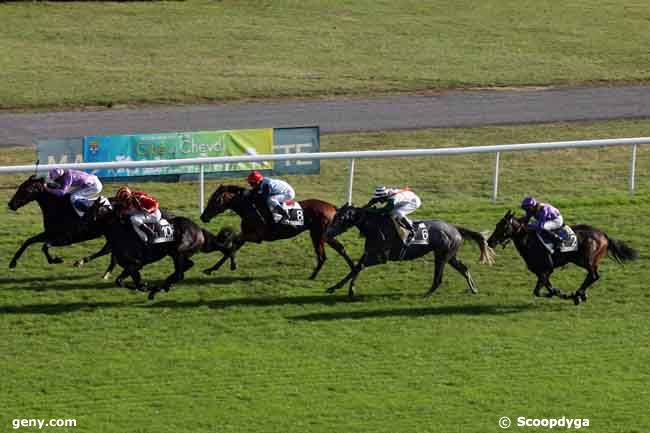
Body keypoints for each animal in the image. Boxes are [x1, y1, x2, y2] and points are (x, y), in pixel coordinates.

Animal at [87, 198, 237, 296]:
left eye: (93, 208)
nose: (86, 219)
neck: (120, 232)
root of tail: (198, 229)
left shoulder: (135, 264)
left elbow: (133, 282)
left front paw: (147, 287)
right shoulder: (131, 266)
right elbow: (120, 281)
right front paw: (145, 286)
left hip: (179, 251)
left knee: (180, 273)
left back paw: (158, 289)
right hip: (177, 253)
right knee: (187, 267)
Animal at [200, 184, 354, 278]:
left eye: (215, 200)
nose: (203, 217)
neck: (250, 207)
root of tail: (333, 207)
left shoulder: (256, 236)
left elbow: (234, 243)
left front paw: (232, 265)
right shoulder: (248, 234)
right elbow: (233, 247)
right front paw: (212, 269)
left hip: (317, 234)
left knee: (322, 256)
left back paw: (313, 275)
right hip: (327, 235)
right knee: (340, 248)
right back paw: (352, 269)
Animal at [322, 203, 494, 296]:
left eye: (341, 218)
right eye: (335, 216)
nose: (327, 233)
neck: (375, 226)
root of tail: (455, 228)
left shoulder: (381, 257)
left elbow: (359, 267)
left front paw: (347, 289)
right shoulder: (369, 253)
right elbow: (356, 267)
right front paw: (338, 288)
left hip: (442, 256)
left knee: (438, 278)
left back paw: (427, 294)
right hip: (450, 256)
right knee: (463, 268)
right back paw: (473, 289)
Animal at [484, 209, 636, 304]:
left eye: (503, 226)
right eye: (497, 224)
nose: (489, 241)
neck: (529, 241)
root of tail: (604, 235)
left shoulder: (546, 269)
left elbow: (541, 290)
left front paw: (567, 294)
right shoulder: (540, 272)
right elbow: (545, 289)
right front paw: (561, 293)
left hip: (587, 259)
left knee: (593, 275)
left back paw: (578, 294)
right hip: (585, 260)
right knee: (592, 275)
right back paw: (581, 294)